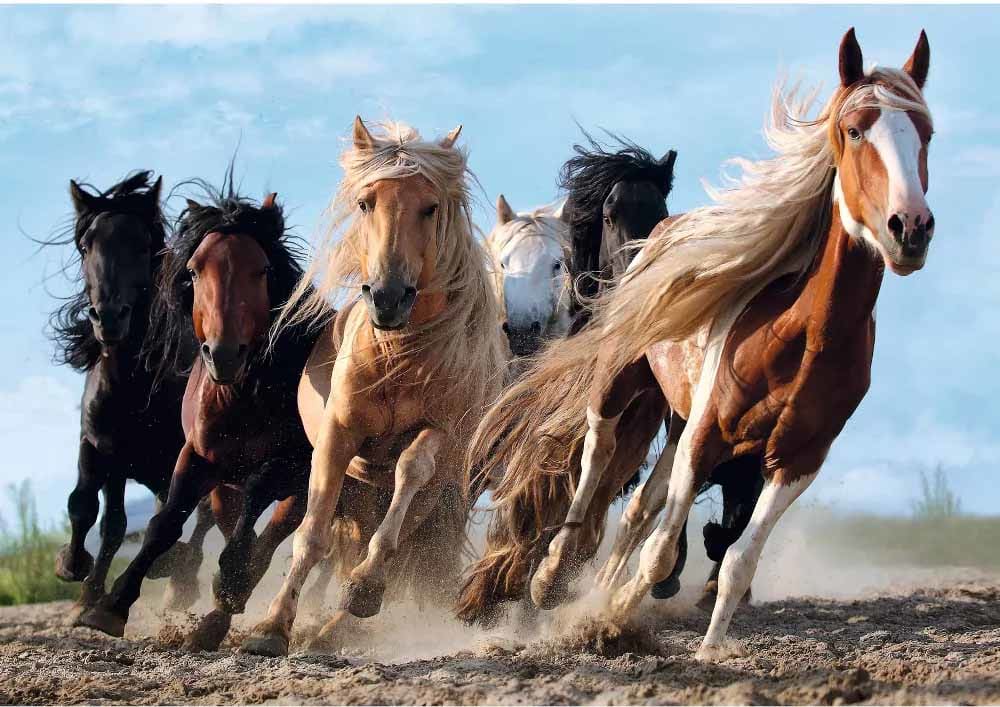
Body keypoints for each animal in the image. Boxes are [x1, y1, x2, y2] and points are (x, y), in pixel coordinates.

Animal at [46, 171, 212, 618]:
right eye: (86, 245)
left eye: (142, 245)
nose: (109, 318)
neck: (132, 386)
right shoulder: (102, 448)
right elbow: (92, 510)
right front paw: (77, 575)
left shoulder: (179, 458)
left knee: (202, 518)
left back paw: (180, 580)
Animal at [77, 179, 319, 650]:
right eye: (193, 271)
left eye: (262, 270)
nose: (223, 354)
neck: (243, 396)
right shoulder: (195, 458)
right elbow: (163, 524)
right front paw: (110, 606)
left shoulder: (289, 466)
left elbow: (254, 509)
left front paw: (229, 583)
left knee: (271, 539)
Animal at [240, 117, 506, 657]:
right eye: (366, 203)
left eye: (430, 207)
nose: (387, 297)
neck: (398, 357)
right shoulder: (338, 437)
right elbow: (312, 535)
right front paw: (271, 627)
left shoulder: (439, 433)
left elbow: (410, 471)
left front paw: (364, 587)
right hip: (361, 492)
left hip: (433, 496)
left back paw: (341, 620)